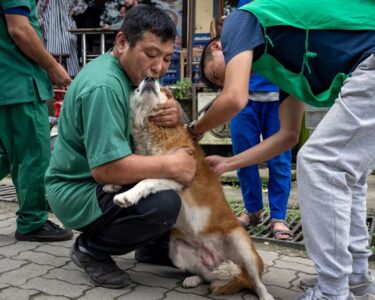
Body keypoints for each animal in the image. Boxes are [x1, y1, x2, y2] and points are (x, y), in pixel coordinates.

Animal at [108, 78, 274, 300]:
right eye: (135, 89)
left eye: (162, 88)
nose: (150, 78)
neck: (154, 131)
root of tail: (222, 261)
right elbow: (134, 173)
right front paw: (112, 184)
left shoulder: (179, 176)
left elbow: (145, 181)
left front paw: (126, 196)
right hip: (176, 250)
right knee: (208, 275)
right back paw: (194, 279)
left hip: (243, 245)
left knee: (255, 281)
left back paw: (264, 294)